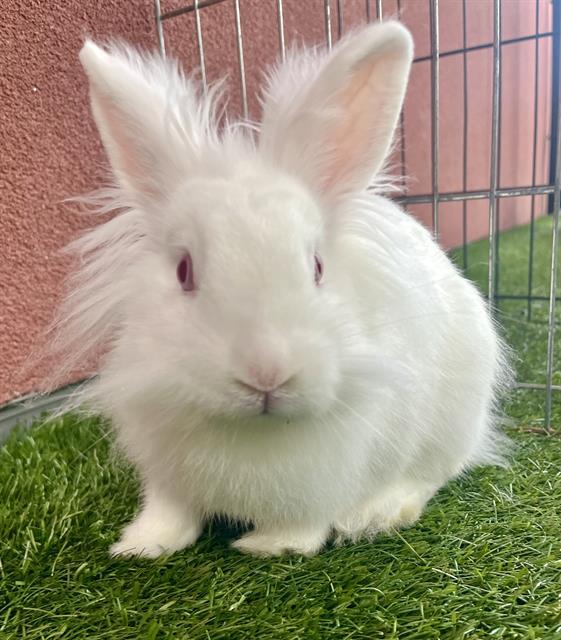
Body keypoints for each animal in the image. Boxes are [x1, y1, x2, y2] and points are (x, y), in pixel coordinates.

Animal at [50, 21, 510, 558]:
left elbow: (301, 530)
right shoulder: (164, 475)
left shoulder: (317, 489)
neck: (254, 431)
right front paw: (141, 546)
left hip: (454, 419)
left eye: (317, 267)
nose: (265, 374)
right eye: (184, 270)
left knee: (431, 474)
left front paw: (264, 547)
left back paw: (376, 515)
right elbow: (170, 513)